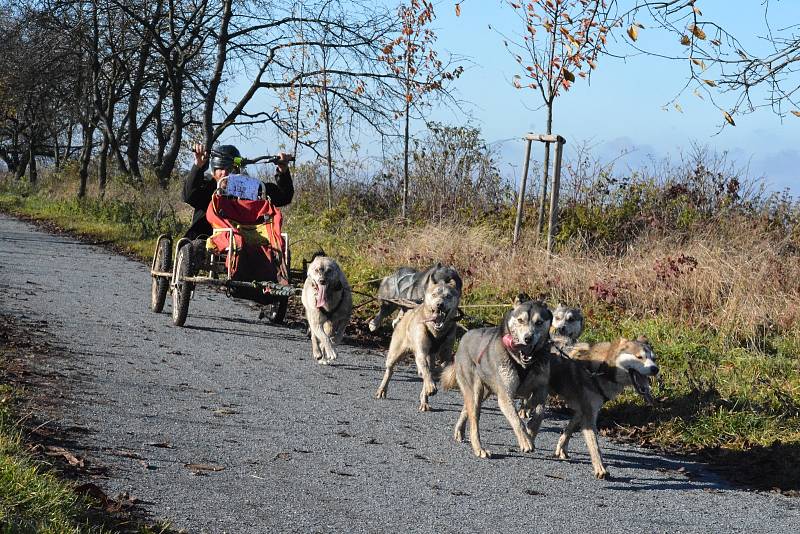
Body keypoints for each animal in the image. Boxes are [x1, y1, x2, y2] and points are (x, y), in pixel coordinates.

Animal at [376, 278, 462, 412]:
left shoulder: (446, 355)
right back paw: (382, 389)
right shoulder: (422, 352)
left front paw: (430, 380)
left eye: (448, 296)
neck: (436, 332)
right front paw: (430, 383)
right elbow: (426, 369)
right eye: (434, 294)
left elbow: (440, 367)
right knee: (389, 370)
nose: (440, 304)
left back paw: (424, 400)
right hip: (395, 353)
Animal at [440, 298, 552, 460]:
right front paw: (525, 440)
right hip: (475, 391)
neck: (522, 363)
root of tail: (464, 338)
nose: (528, 338)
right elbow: (517, 421)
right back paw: (479, 448)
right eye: (520, 320)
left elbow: (540, 413)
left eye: (539, 322)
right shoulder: (505, 396)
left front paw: (531, 431)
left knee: (466, 409)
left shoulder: (541, 390)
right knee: (474, 422)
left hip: (484, 392)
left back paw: (459, 430)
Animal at [532, 338, 664, 480]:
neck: (603, 369)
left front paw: (561, 448)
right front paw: (600, 468)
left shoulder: (584, 409)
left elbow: (568, 430)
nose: (655, 369)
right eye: (639, 357)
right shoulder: (588, 414)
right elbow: (594, 445)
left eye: (654, 359)